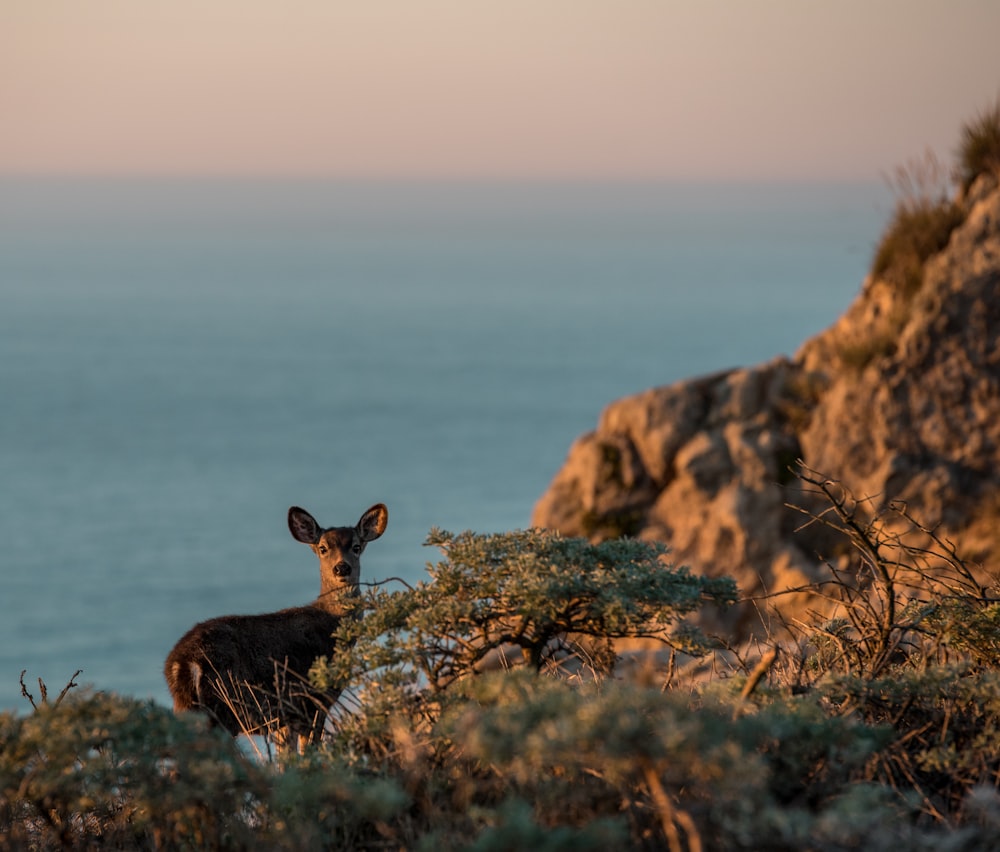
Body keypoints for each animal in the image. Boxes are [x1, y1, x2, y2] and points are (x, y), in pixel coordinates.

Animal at [164, 502, 386, 748]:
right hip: (223, 709)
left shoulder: (285, 717)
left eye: (356, 547)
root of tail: (181, 663)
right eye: (323, 548)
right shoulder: (314, 701)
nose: (342, 568)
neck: (332, 622)